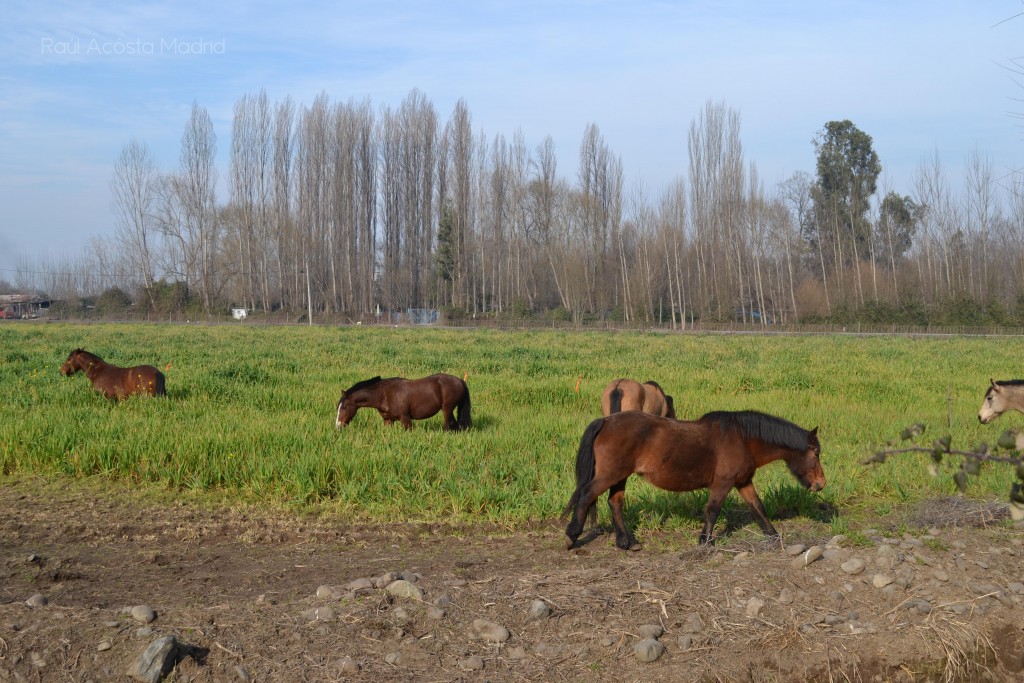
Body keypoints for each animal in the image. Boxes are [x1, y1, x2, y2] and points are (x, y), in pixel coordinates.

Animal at [335, 374, 471, 432]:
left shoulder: (405, 419)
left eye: (344, 407)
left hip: (447, 409)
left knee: (449, 425)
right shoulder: (388, 420)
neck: (383, 394)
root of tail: (460, 380)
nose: (338, 426)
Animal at [565, 411, 827, 548]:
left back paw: (626, 541)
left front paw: (773, 535)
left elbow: (758, 507)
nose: (821, 484)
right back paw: (572, 535)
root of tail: (606, 421)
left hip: (620, 476)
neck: (743, 438)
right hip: (611, 474)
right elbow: (713, 509)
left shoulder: (743, 482)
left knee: (615, 503)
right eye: (816, 453)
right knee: (586, 495)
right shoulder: (723, 482)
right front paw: (705, 540)